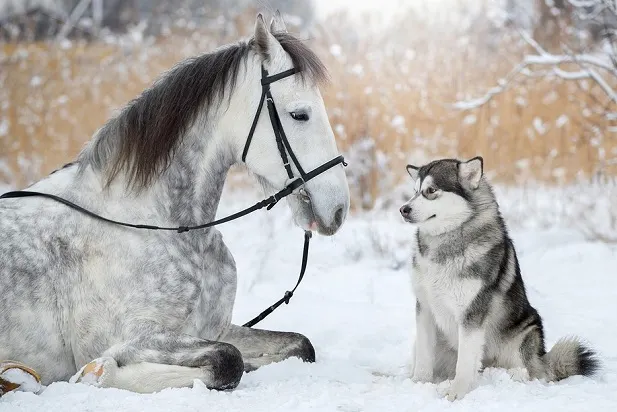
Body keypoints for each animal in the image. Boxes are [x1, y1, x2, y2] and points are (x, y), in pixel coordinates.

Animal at [0, 12, 348, 392]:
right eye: (300, 114)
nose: (338, 209)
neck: (161, 224)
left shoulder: (214, 328)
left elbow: (299, 345)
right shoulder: (136, 337)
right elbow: (228, 360)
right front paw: (99, 373)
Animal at [400, 156, 596, 400]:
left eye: (431, 190)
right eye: (415, 191)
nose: (403, 209)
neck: (444, 243)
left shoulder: (472, 313)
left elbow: (464, 363)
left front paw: (457, 393)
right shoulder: (424, 308)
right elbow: (425, 356)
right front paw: (419, 383)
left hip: (526, 331)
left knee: (529, 371)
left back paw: (514, 376)